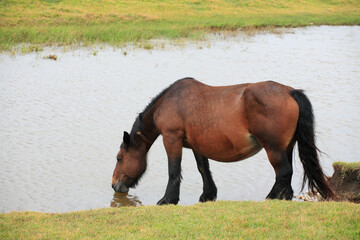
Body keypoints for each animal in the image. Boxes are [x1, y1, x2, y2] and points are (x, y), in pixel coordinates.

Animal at [111, 78, 334, 204]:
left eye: (119, 158)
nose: (115, 186)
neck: (170, 101)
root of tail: (289, 91)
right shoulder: (196, 145)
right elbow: (203, 169)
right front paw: (208, 195)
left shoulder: (171, 138)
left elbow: (174, 170)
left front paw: (168, 199)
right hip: (286, 147)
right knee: (287, 173)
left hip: (273, 149)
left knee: (283, 172)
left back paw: (271, 198)